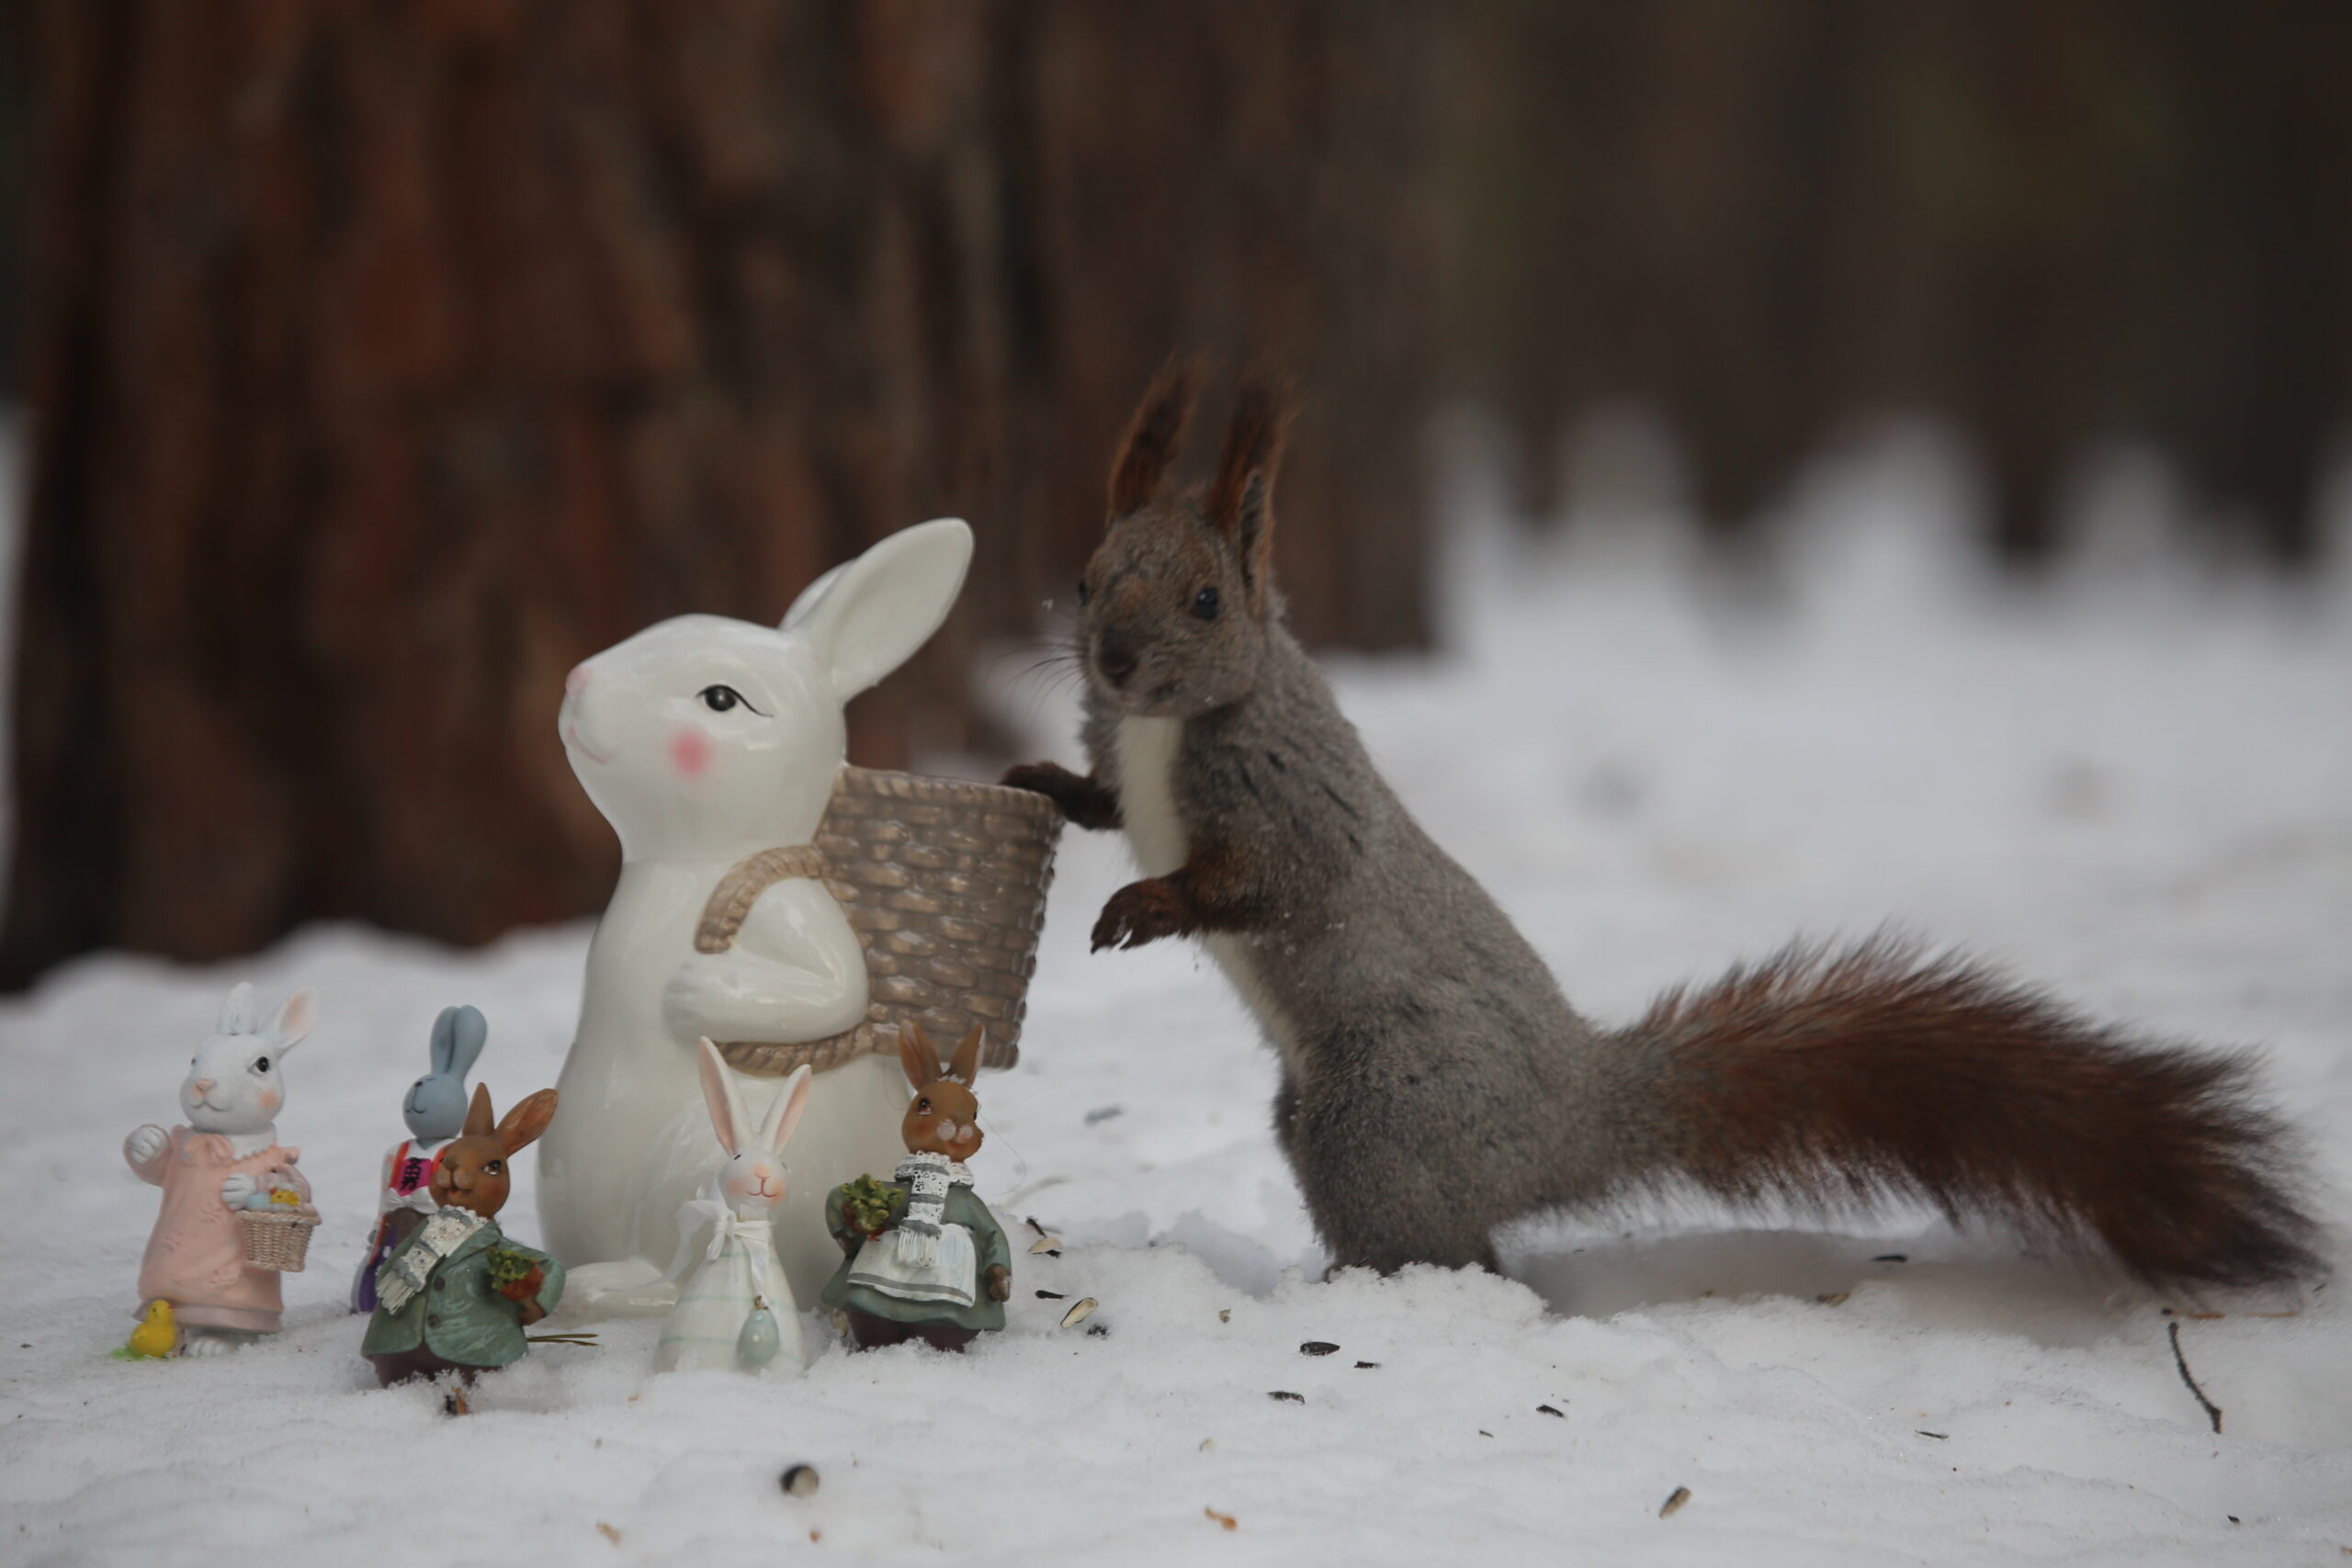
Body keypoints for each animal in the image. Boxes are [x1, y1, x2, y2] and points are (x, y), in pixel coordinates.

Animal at [1001, 362, 2324, 1297]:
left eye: (1206, 601)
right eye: (1083, 580)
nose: (1112, 660)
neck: (1170, 725)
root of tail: (1579, 1117)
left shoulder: (1291, 800)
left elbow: (1269, 881)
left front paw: (1148, 902)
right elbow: (1107, 799)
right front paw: (1043, 781)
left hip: (1379, 1116)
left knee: (1461, 1249)